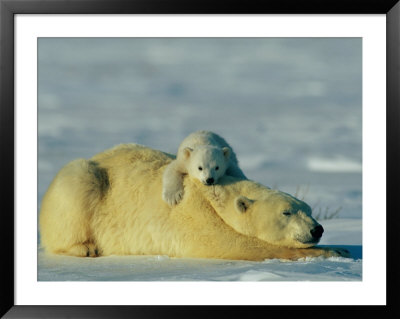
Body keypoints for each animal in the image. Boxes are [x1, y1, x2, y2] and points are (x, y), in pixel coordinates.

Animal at [38, 144, 350, 262]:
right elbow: (229, 244)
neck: (216, 193)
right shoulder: (193, 213)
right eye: (287, 212)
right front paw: (335, 251)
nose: (317, 229)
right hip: (83, 181)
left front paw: (341, 246)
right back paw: (85, 247)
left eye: (308, 209)